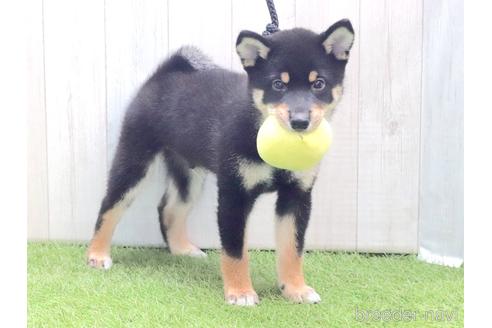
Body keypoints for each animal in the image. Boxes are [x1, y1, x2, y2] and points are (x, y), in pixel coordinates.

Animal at [87, 17, 354, 304]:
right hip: (134, 161)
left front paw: (295, 289)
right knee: (110, 206)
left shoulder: (297, 195)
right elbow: (235, 251)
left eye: (319, 84)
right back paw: (97, 255)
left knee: (168, 209)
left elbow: (292, 249)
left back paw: (182, 250)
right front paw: (240, 293)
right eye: (278, 85)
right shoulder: (233, 192)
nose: (300, 122)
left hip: (189, 176)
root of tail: (164, 74)